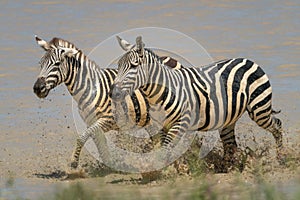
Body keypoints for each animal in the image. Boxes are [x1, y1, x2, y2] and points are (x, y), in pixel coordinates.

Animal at [32, 35, 183, 169]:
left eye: (57, 64)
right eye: (40, 64)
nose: (37, 88)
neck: (91, 88)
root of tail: (170, 58)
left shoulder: (107, 120)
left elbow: (82, 137)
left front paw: (74, 163)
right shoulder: (92, 122)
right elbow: (101, 147)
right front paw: (110, 167)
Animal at [110, 36, 284, 170]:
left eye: (134, 66)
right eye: (118, 66)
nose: (114, 93)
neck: (157, 94)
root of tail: (247, 60)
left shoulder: (180, 123)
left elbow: (166, 148)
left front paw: (170, 171)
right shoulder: (158, 126)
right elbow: (161, 148)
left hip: (259, 109)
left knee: (277, 125)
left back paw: (281, 158)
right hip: (229, 118)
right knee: (230, 144)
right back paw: (226, 169)